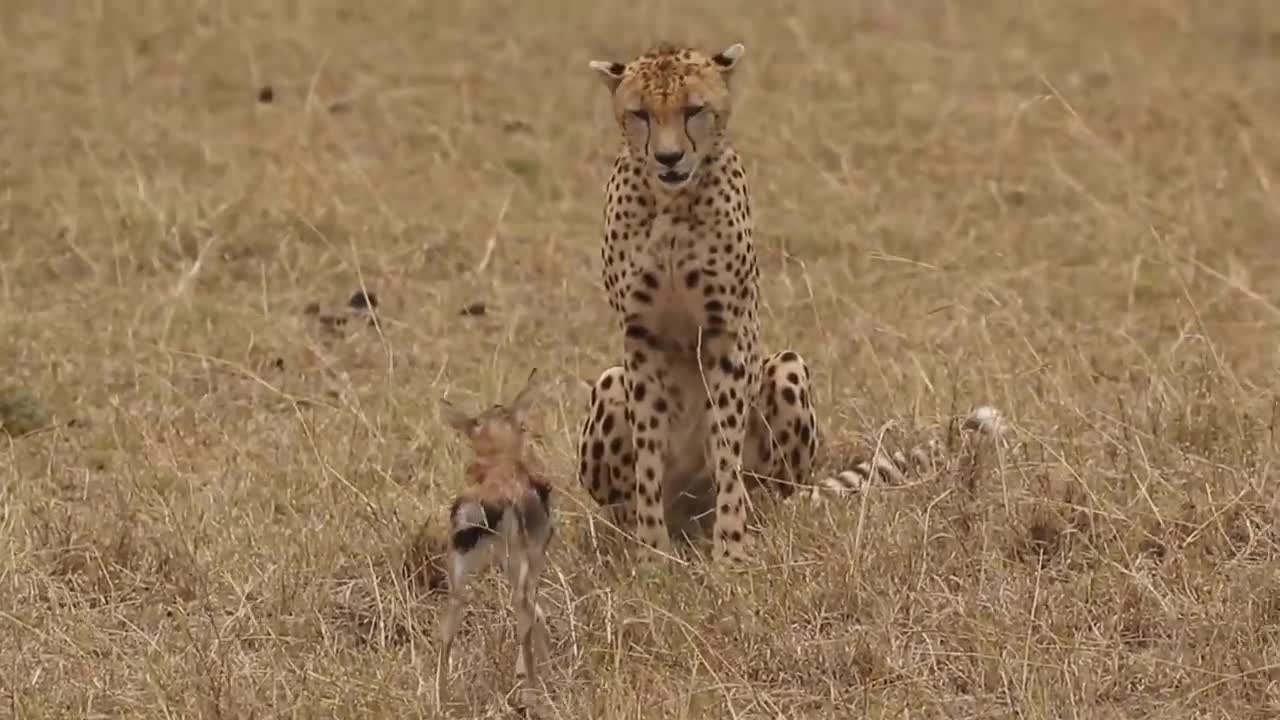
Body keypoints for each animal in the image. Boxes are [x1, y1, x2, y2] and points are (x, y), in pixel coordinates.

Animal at [581, 41, 1008, 563]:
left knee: (764, 486)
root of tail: (690, 513)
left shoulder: (727, 332)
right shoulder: (641, 337)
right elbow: (648, 456)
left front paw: (731, 551)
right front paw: (651, 553)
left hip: (787, 370)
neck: (672, 204)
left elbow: (725, 447)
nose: (668, 157)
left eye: (694, 110)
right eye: (640, 113)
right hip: (611, 383)